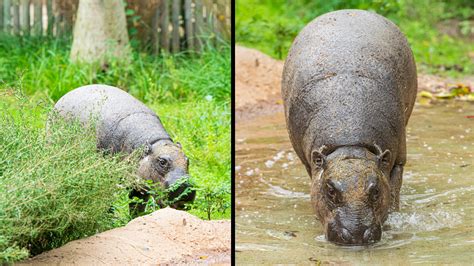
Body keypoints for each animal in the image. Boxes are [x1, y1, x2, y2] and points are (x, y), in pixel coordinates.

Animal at [53, 84, 196, 213]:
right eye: (162, 161)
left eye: (188, 160)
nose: (186, 187)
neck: (156, 143)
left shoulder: (138, 185)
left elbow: (137, 208)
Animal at [280, 9, 416, 246]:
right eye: (330, 190)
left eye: (375, 190)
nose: (356, 234)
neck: (350, 143)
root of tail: (347, 11)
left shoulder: (398, 159)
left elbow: (393, 195)